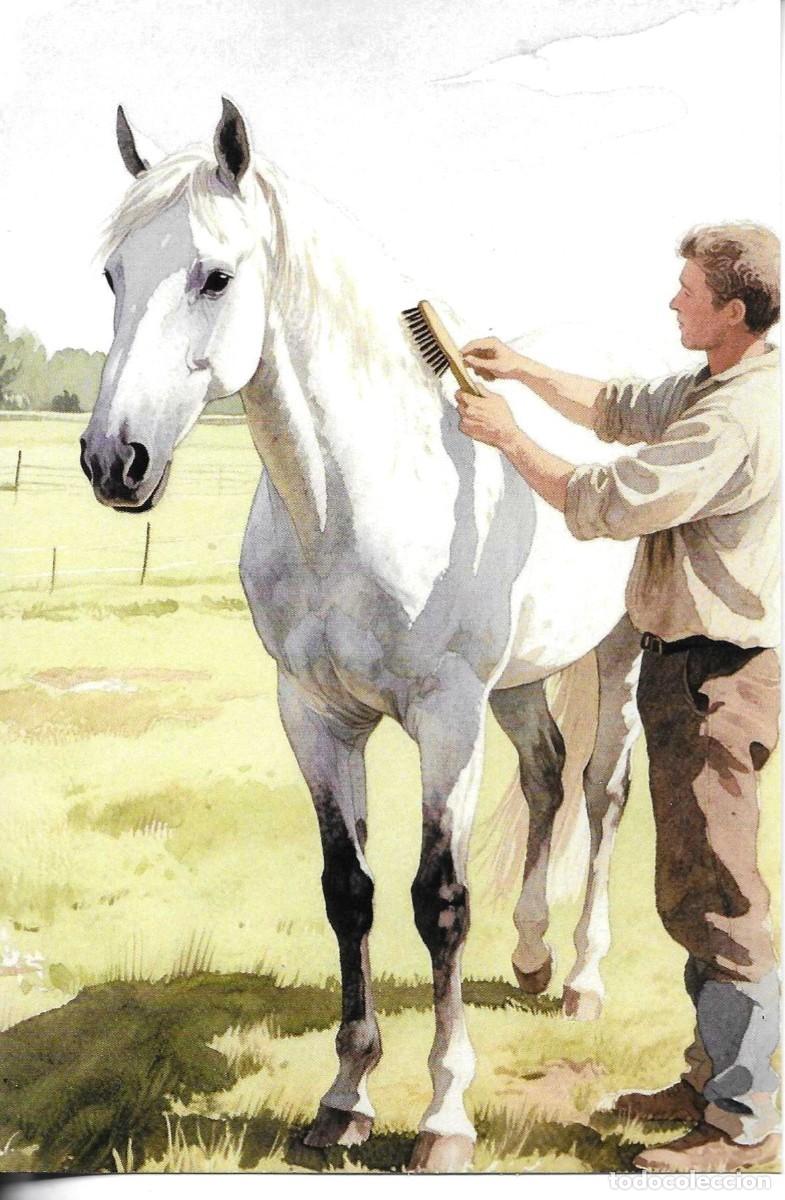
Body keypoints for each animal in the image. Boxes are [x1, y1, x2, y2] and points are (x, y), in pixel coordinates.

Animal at [80, 98, 641, 1172]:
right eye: (113, 275)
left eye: (216, 274)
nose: (112, 461)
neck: (358, 494)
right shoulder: (316, 716)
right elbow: (350, 891)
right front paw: (344, 1099)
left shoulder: (446, 718)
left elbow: (439, 902)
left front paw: (444, 1115)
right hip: (521, 678)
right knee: (546, 775)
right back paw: (533, 955)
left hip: (619, 650)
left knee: (600, 789)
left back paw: (586, 980)